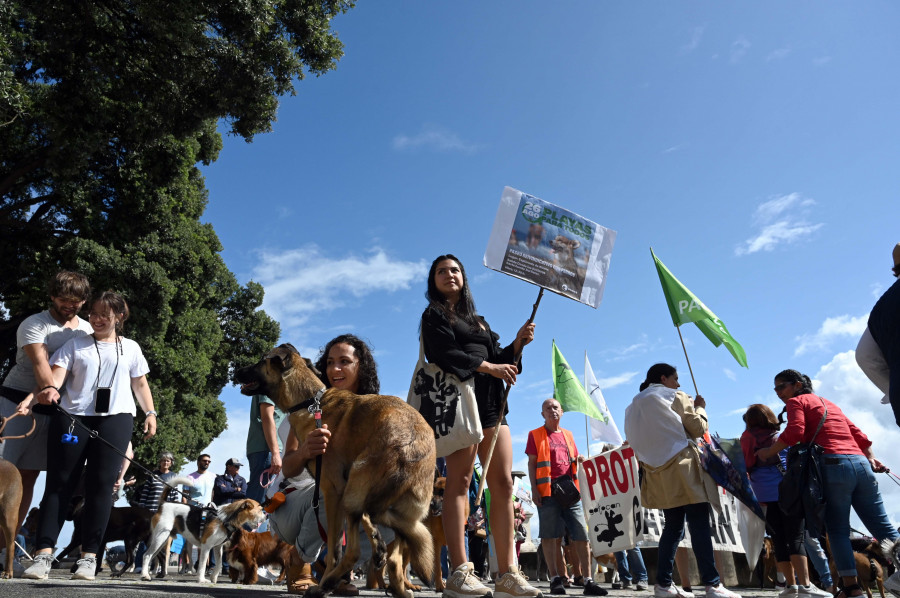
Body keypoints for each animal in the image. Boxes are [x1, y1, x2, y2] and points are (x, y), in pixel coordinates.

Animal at [236, 344, 436, 598]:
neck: (309, 401)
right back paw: (398, 585)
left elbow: (333, 550)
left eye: (261, 361)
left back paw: (327, 584)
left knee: (354, 550)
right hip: (395, 505)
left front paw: (326, 580)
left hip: (352, 494)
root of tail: (411, 445)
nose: (236, 371)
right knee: (395, 547)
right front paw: (376, 545)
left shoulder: (332, 491)